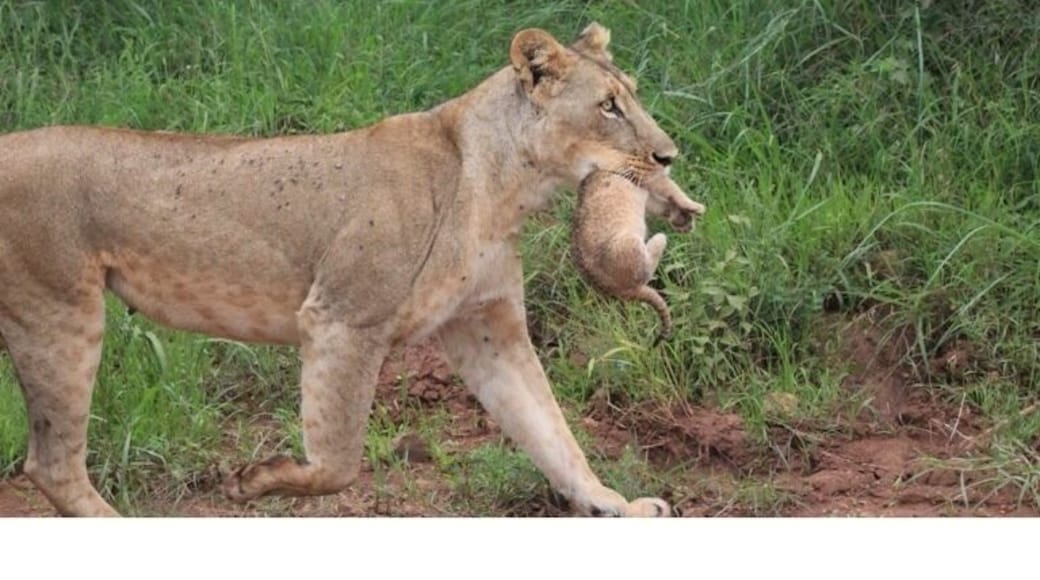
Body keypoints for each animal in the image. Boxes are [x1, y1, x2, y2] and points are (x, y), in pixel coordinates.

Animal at [573, 171, 704, 344]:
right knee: (646, 270)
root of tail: (615, 290)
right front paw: (694, 207)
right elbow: (671, 187)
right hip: (630, 244)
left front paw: (683, 219)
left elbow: (661, 203)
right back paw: (658, 241)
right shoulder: (650, 177)